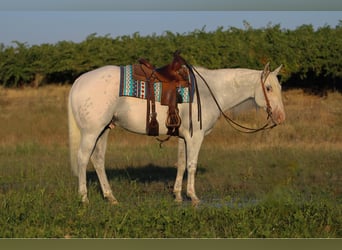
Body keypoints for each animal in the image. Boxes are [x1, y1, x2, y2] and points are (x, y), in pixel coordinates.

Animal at [68, 62, 284, 205]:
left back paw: (110, 197)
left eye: (279, 87)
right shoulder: (195, 137)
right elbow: (191, 165)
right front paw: (193, 197)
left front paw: (178, 195)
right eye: (268, 88)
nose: (281, 117)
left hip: (103, 130)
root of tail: (78, 81)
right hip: (91, 132)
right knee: (83, 159)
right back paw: (84, 198)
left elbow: (181, 164)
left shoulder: (184, 137)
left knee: (98, 160)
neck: (210, 92)